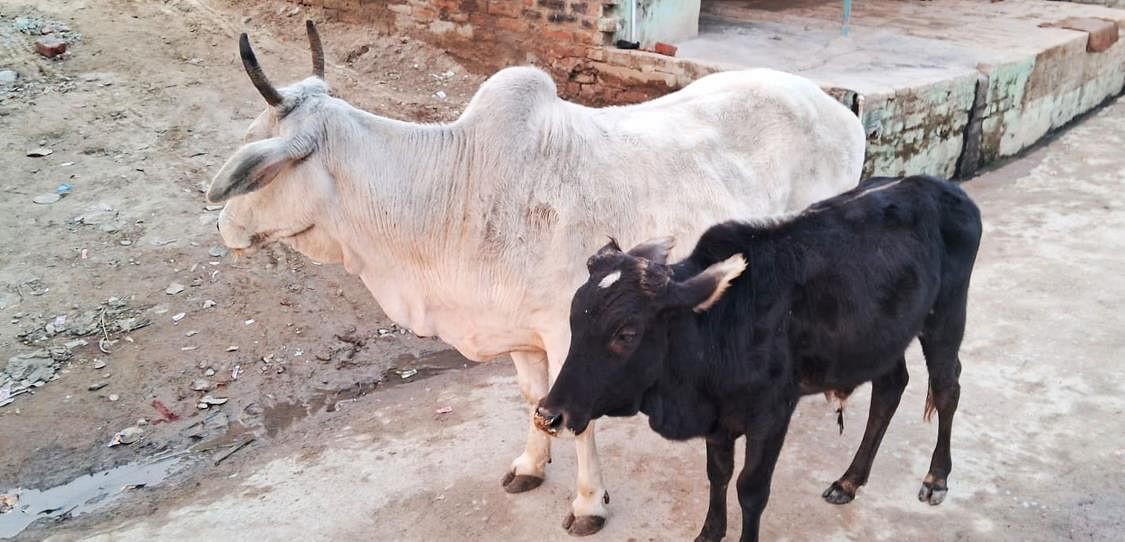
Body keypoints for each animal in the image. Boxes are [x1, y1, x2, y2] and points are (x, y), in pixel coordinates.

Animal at [207, 22, 864, 537]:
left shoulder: (573, 332)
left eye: (254, 155)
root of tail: (841, 109)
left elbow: (580, 418)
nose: (223, 224)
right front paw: (529, 465)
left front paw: (589, 503)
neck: (454, 189)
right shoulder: (520, 332)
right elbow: (534, 401)